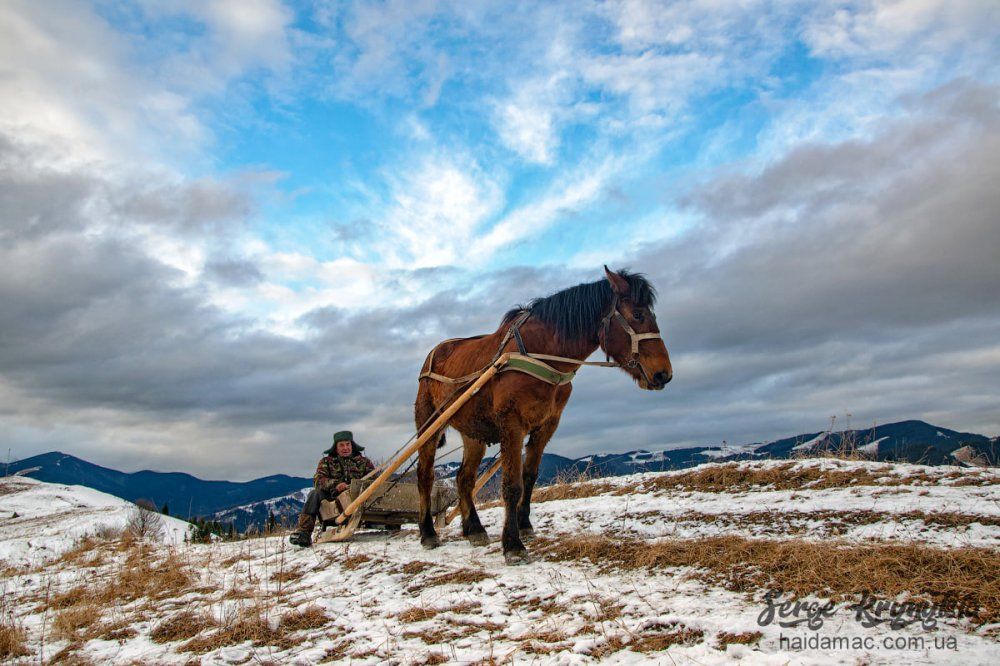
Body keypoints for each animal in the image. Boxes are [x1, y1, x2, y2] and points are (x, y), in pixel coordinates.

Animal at [414, 264, 672, 560]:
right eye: (638, 315)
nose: (663, 373)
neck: (541, 353)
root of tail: (435, 352)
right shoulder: (511, 424)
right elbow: (512, 484)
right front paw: (513, 544)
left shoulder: (547, 424)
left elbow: (529, 476)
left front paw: (524, 525)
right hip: (429, 423)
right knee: (425, 476)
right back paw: (428, 532)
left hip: (473, 433)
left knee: (464, 479)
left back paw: (474, 528)